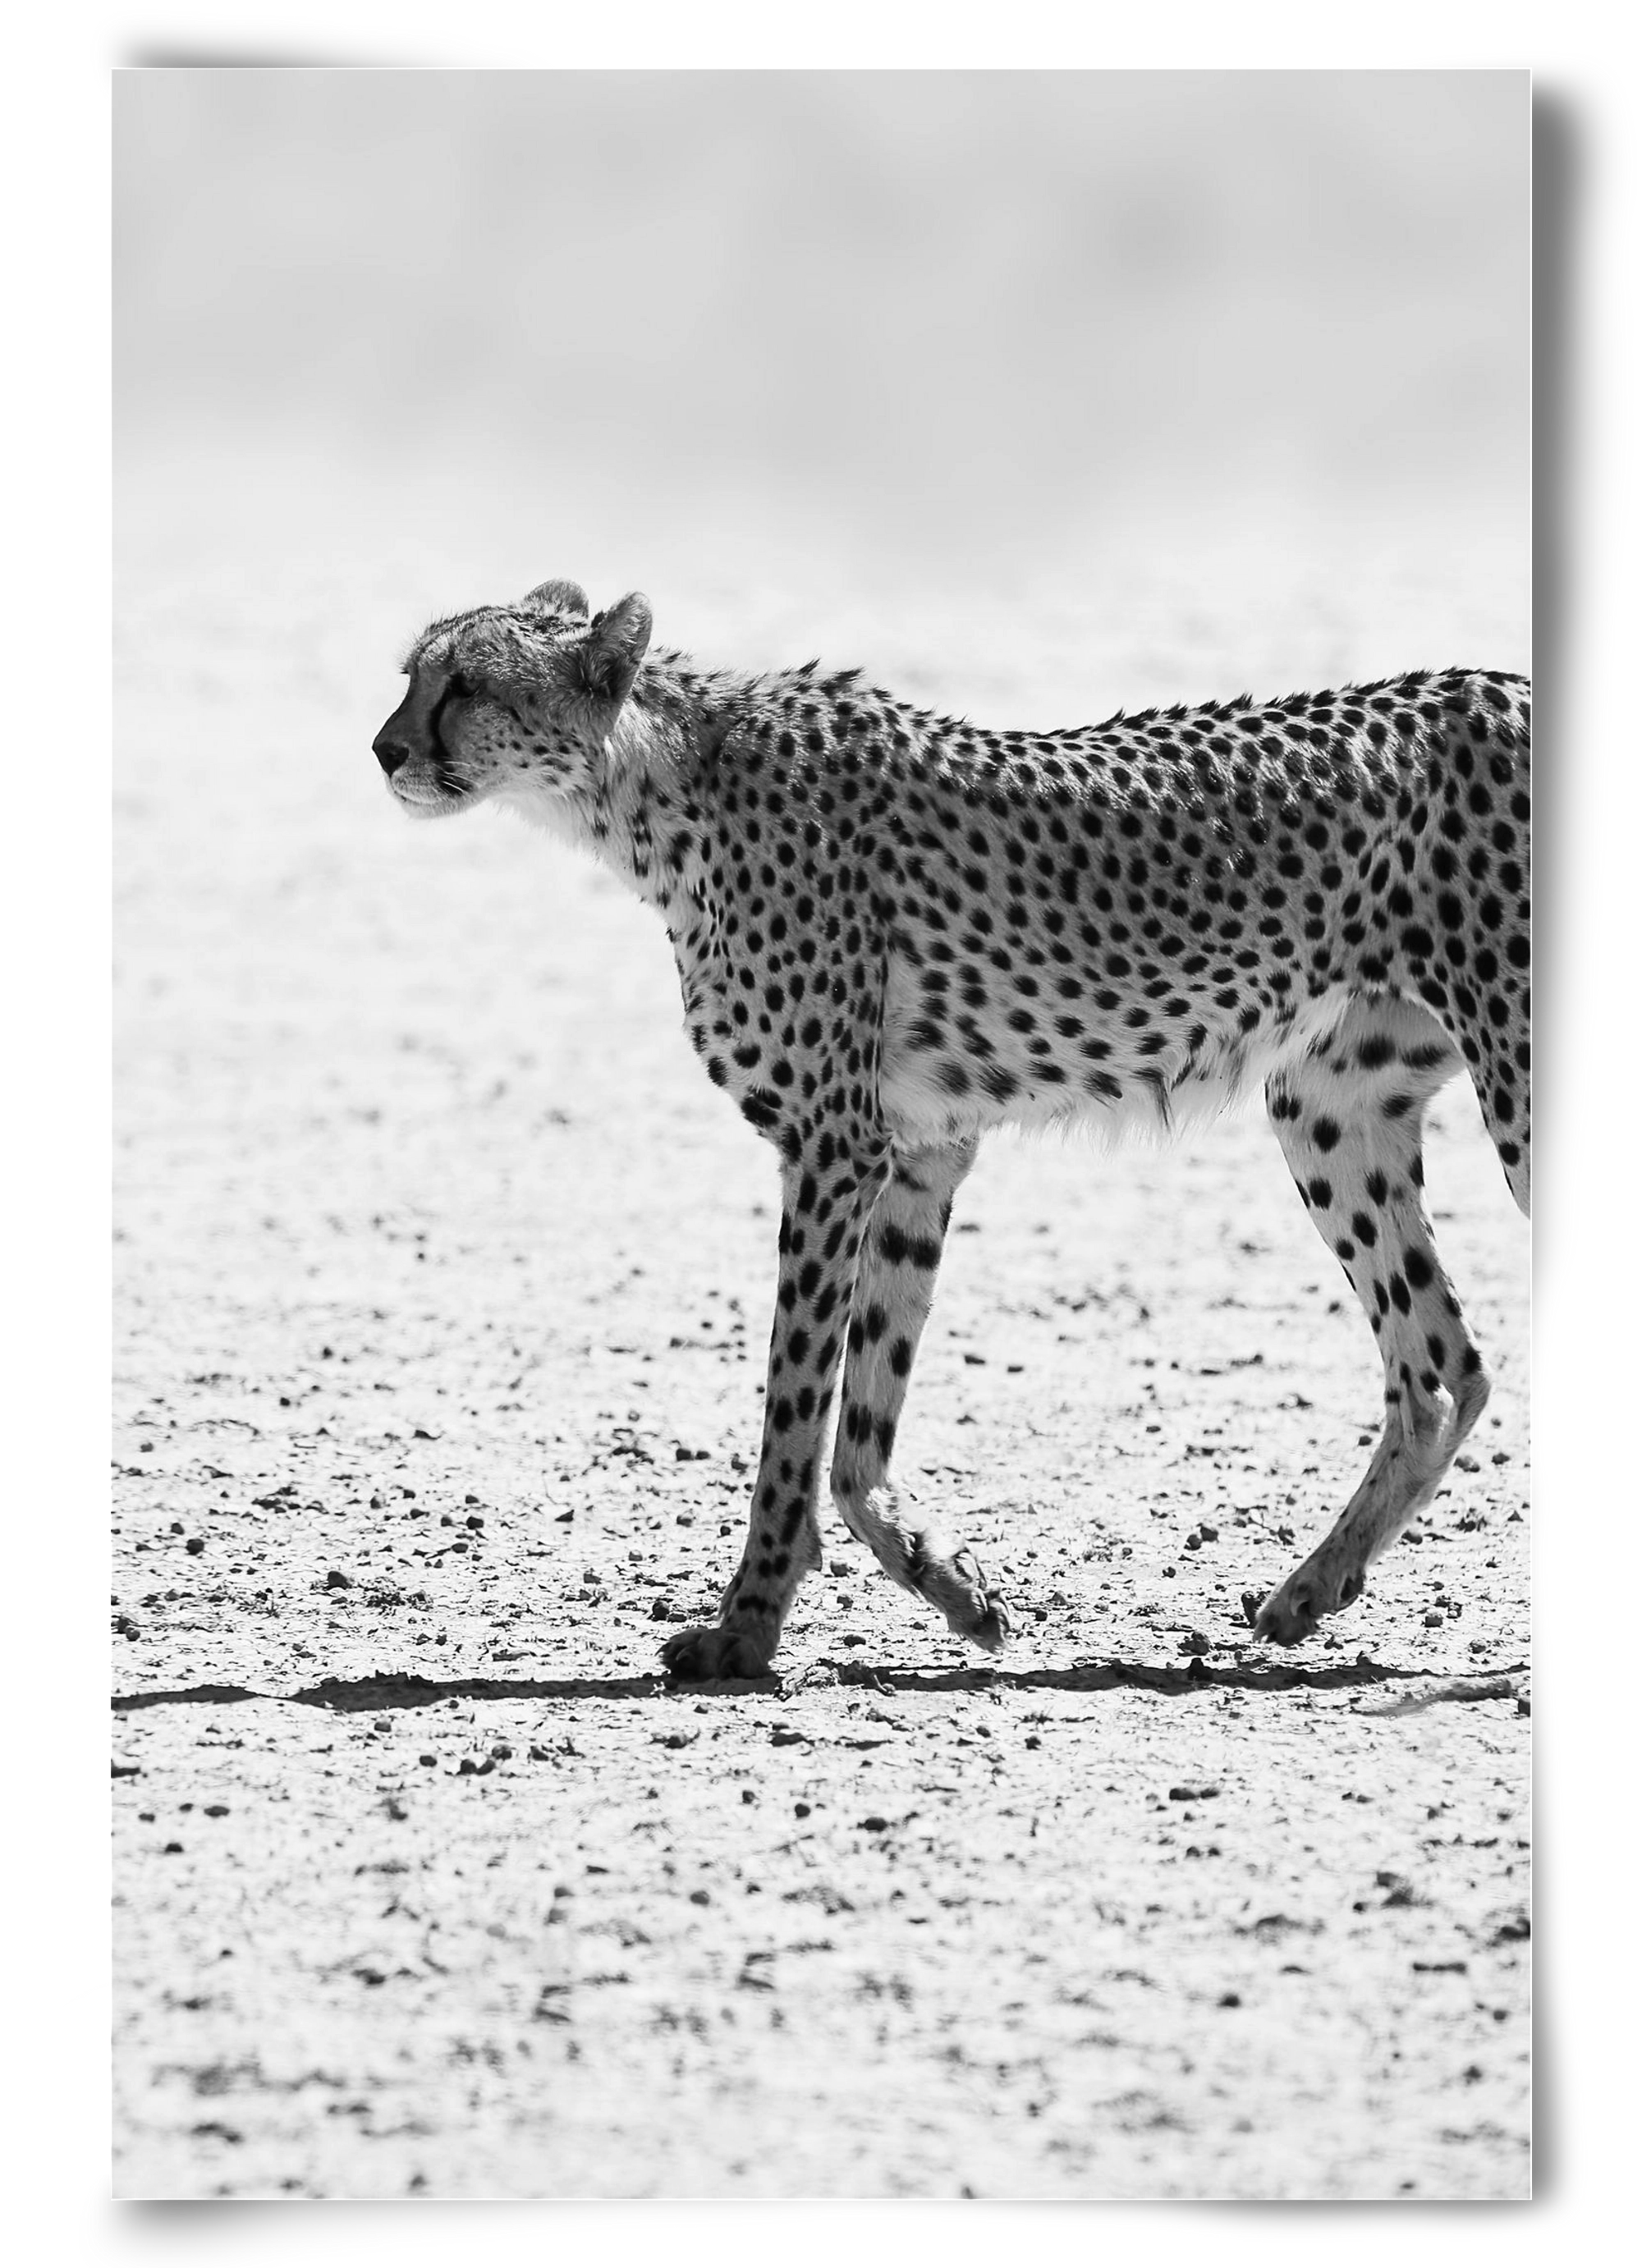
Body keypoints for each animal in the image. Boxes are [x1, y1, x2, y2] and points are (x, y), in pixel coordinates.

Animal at [373, 579, 1530, 1680]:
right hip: (1327, 1106)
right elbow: (859, 1426)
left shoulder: (832, 1147)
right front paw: (954, 1589)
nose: (384, 749)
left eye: (465, 684)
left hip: (1508, 1086)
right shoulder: (918, 1151)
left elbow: (793, 1411)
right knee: (1440, 1368)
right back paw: (1308, 1591)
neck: (654, 785)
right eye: (411, 674)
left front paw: (744, 1630)